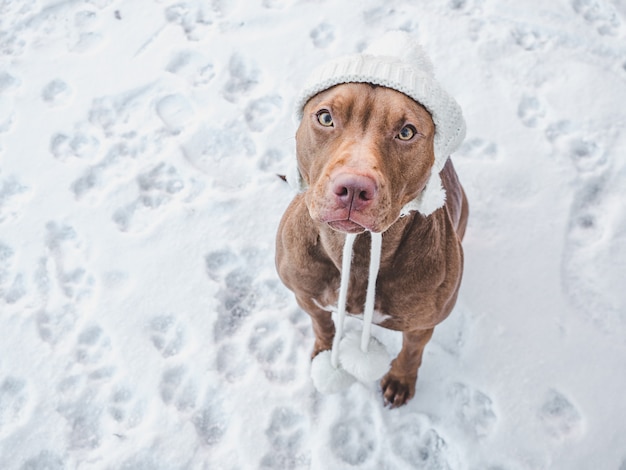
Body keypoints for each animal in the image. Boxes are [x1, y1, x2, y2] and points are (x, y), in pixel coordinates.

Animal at [276, 79, 466, 406]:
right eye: (325, 117)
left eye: (406, 132)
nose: (353, 187)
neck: (357, 251)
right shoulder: (305, 295)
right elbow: (322, 324)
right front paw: (324, 352)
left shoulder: (422, 325)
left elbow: (411, 352)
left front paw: (400, 380)